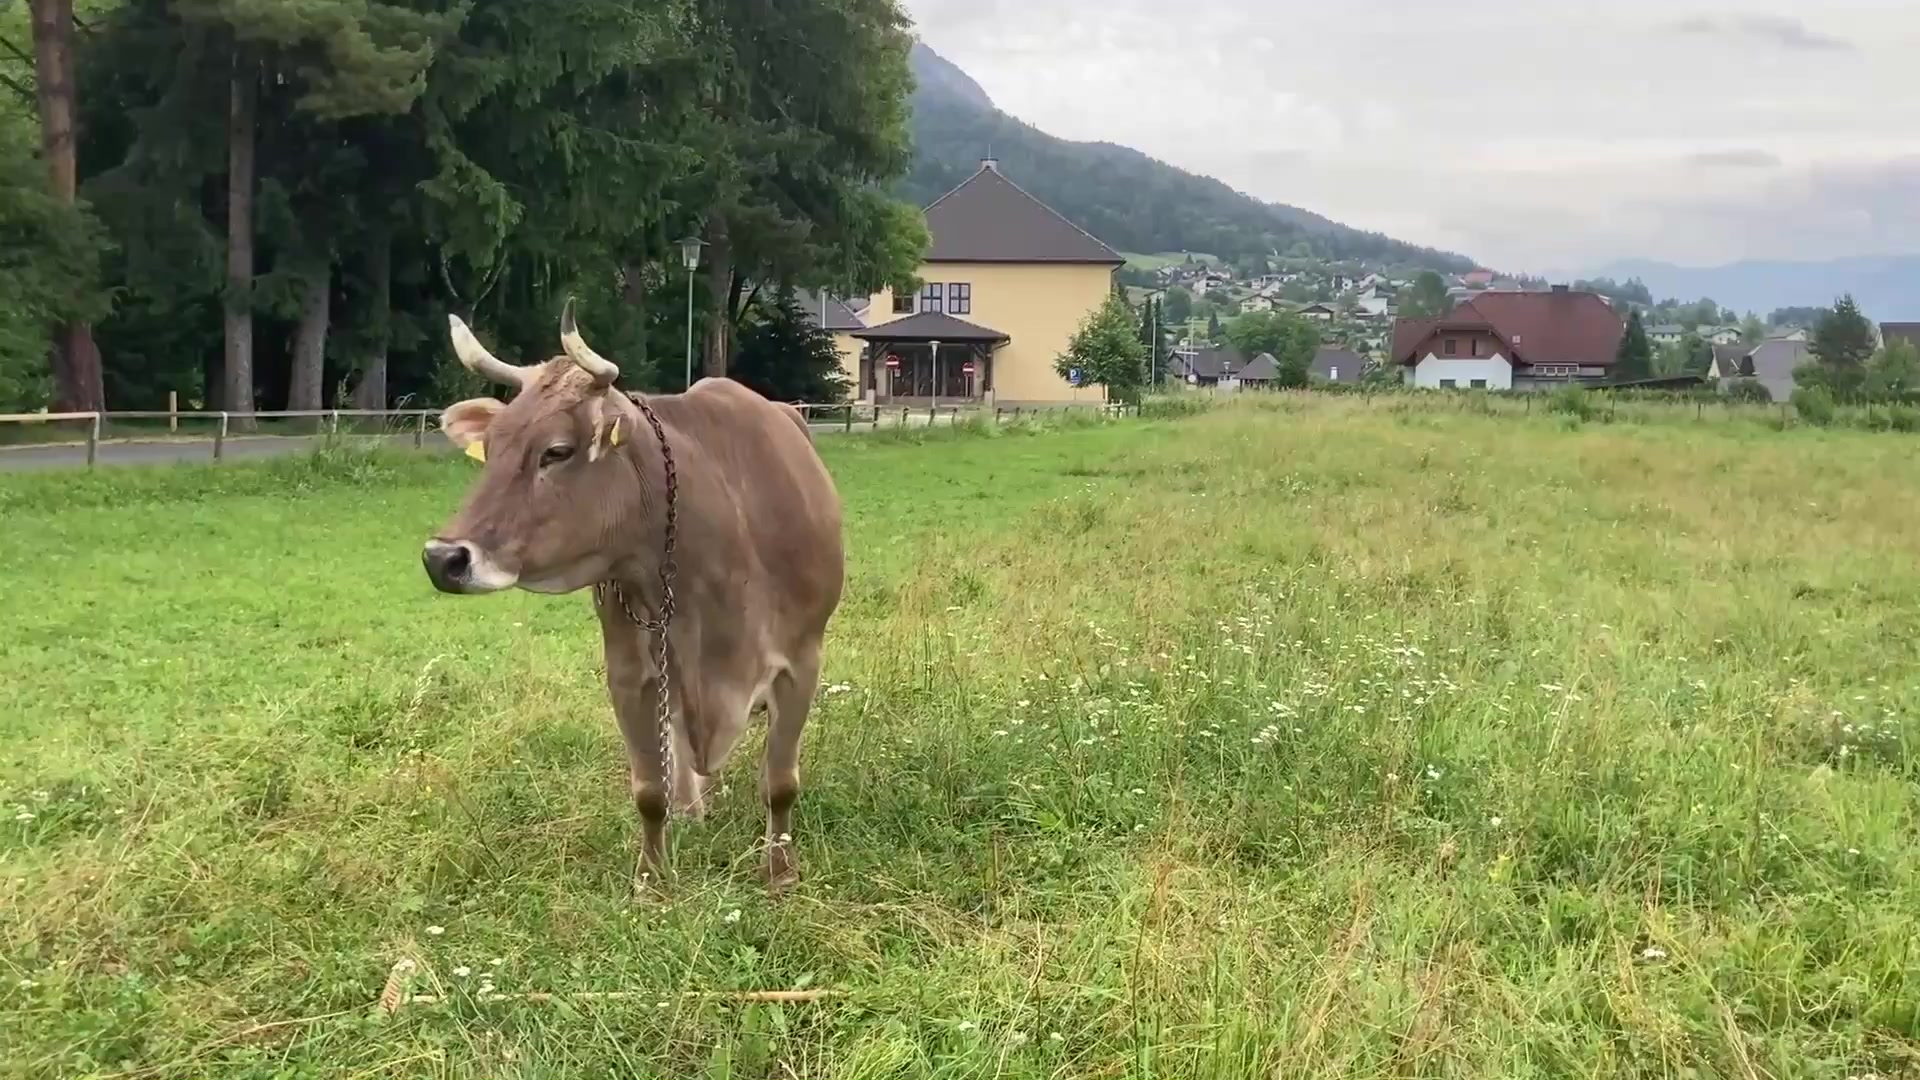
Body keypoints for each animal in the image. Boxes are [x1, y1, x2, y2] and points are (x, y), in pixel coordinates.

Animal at [420, 302, 845, 891]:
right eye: (493, 448)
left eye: (556, 451)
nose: (442, 558)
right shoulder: (629, 671)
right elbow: (648, 790)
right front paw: (651, 878)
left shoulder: (801, 659)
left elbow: (779, 783)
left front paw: (780, 872)